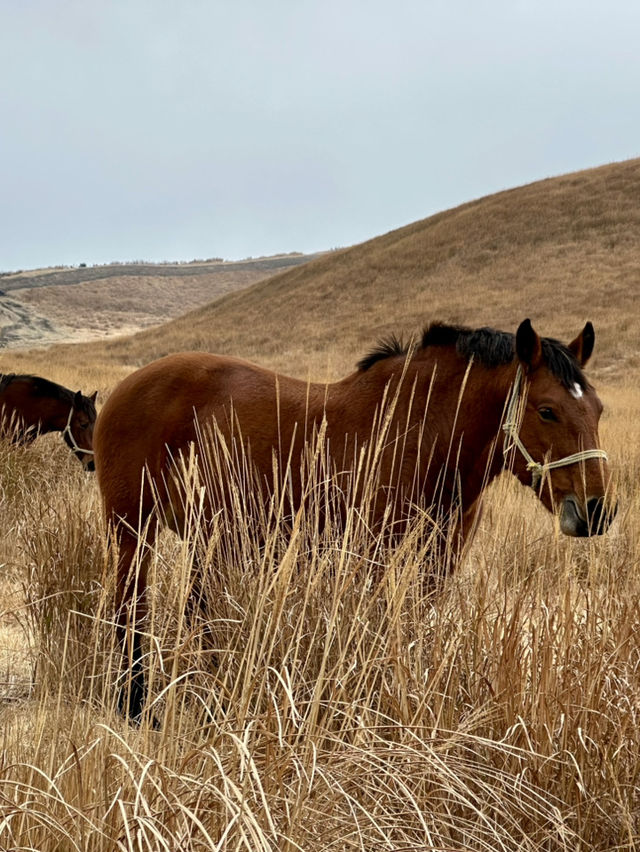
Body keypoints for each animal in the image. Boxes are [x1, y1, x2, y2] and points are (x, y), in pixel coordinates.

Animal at [94, 320, 616, 720]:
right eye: (546, 411)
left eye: (597, 409)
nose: (597, 511)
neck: (418, 430)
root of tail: (122, 389)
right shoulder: (371, 554)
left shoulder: (437, 562)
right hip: (132, 533)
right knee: (131, 611)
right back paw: (134, 702)